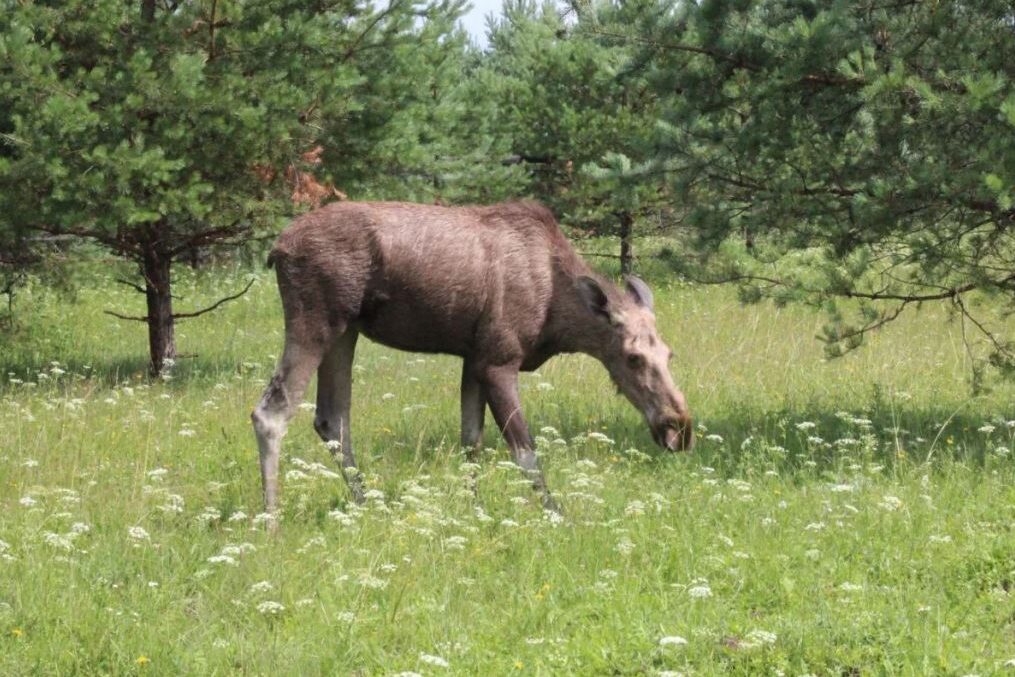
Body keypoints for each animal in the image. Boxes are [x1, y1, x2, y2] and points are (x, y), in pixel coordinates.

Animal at [253, 200, 694, 513]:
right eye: (632, 357)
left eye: (670, 354)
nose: (679, 427)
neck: (557, 318)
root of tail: (277, 250)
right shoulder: (498, 360)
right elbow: (524, 450)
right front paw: (554, 515)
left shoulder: (474, 358)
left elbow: (471, 443)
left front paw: (474, 511)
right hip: (316, 320)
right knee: (271, 412)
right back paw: (272, 519)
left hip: (346, 331)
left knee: (332, 419)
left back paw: (366, 506)